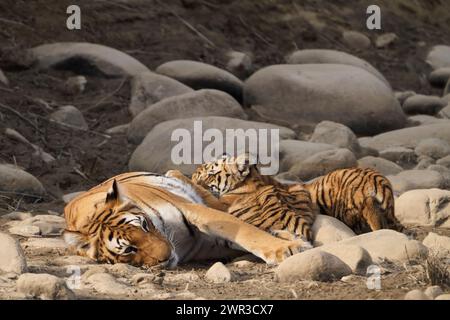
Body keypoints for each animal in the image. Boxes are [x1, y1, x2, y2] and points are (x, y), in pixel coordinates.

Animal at [63, 170, 304, 268]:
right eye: (129, 249)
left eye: (144, 225)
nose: (166, 255)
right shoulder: (210, 242)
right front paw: (288, 244)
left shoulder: (196, 210)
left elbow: (245, 230)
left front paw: (287, 248)